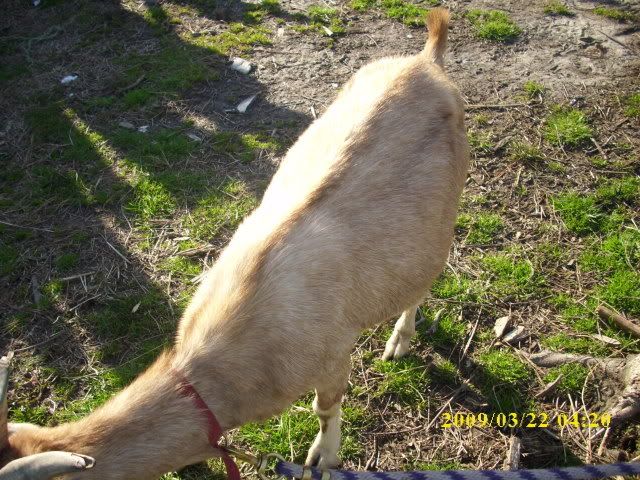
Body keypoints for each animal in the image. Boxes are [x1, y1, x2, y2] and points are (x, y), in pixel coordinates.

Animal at [0, 8, 469, 479]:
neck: (216, 373)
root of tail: (426, 60)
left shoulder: (332, 355)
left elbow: (325, 409)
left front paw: (324, 457)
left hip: (440, 214)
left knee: (421, 280)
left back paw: (400, 340)